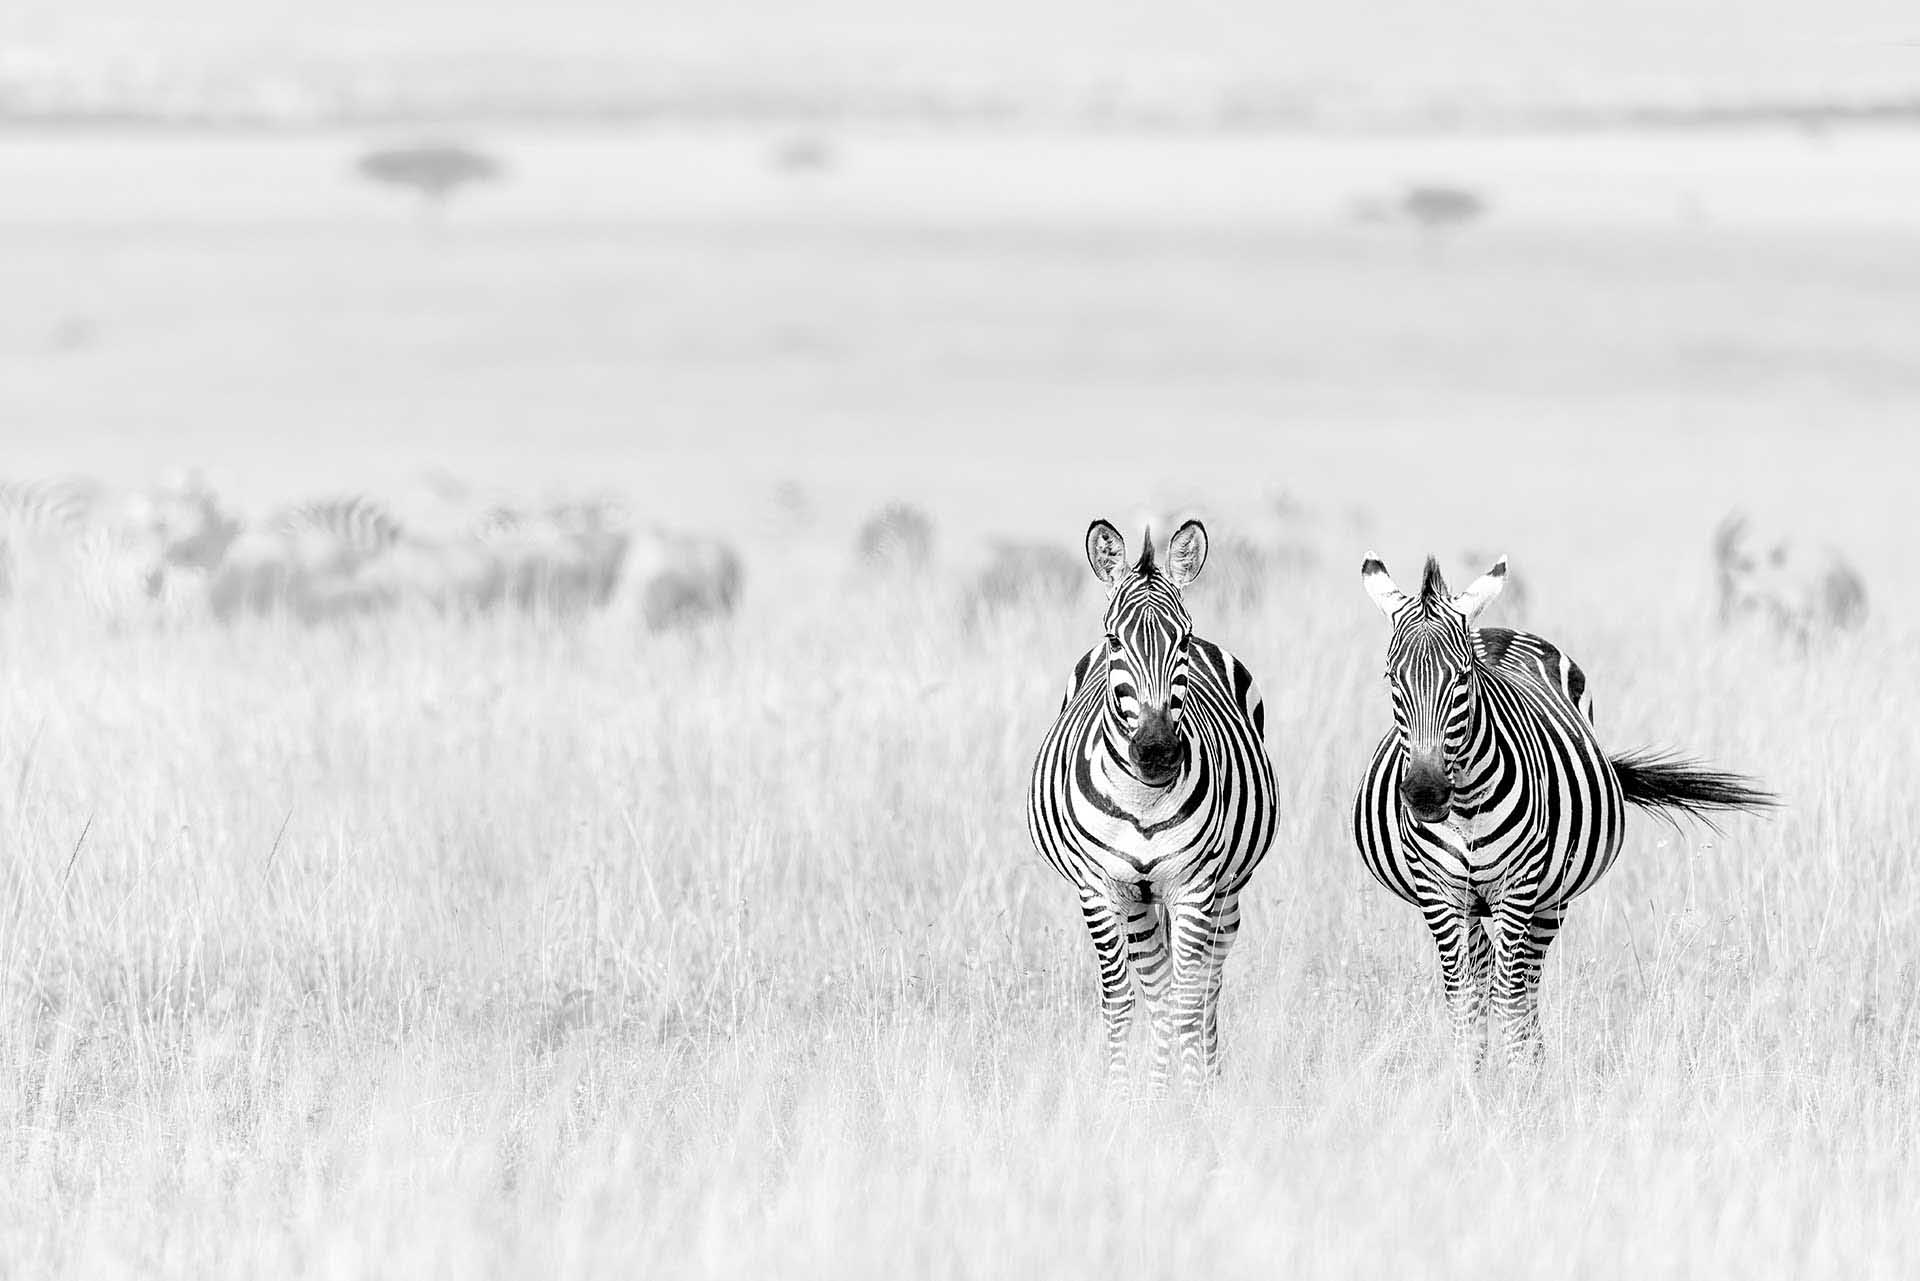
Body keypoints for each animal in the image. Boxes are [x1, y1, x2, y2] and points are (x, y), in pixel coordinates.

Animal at [1027, 520, 1278, 1094]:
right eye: (1114, 640)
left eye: (1181, 639)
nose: (1158, 750)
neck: (1142, 798)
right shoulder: (1099, 890)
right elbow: (1123, 1001)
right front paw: (1125, 1099)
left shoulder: (1195, 889)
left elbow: (1188, 1000)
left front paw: (1194, 1100)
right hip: (1139, 901)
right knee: (1158, 988)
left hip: (1226, 893)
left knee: (1205, 987)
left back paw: (1201, 1076)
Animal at [1352, 553, 1775, 1066]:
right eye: (1392, 678)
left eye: (1463, 678)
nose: (1425, 794)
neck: (1466, 806)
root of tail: (1500, 629)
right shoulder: (1436, 891)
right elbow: (1464, 996)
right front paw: (1468, 1081)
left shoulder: (1520, 886)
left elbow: (1510, 997)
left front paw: (1519, 1083)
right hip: (1472, 903)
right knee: (1484, 967)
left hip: (1551, 901)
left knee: (1524, 980)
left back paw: (1535, 1064)